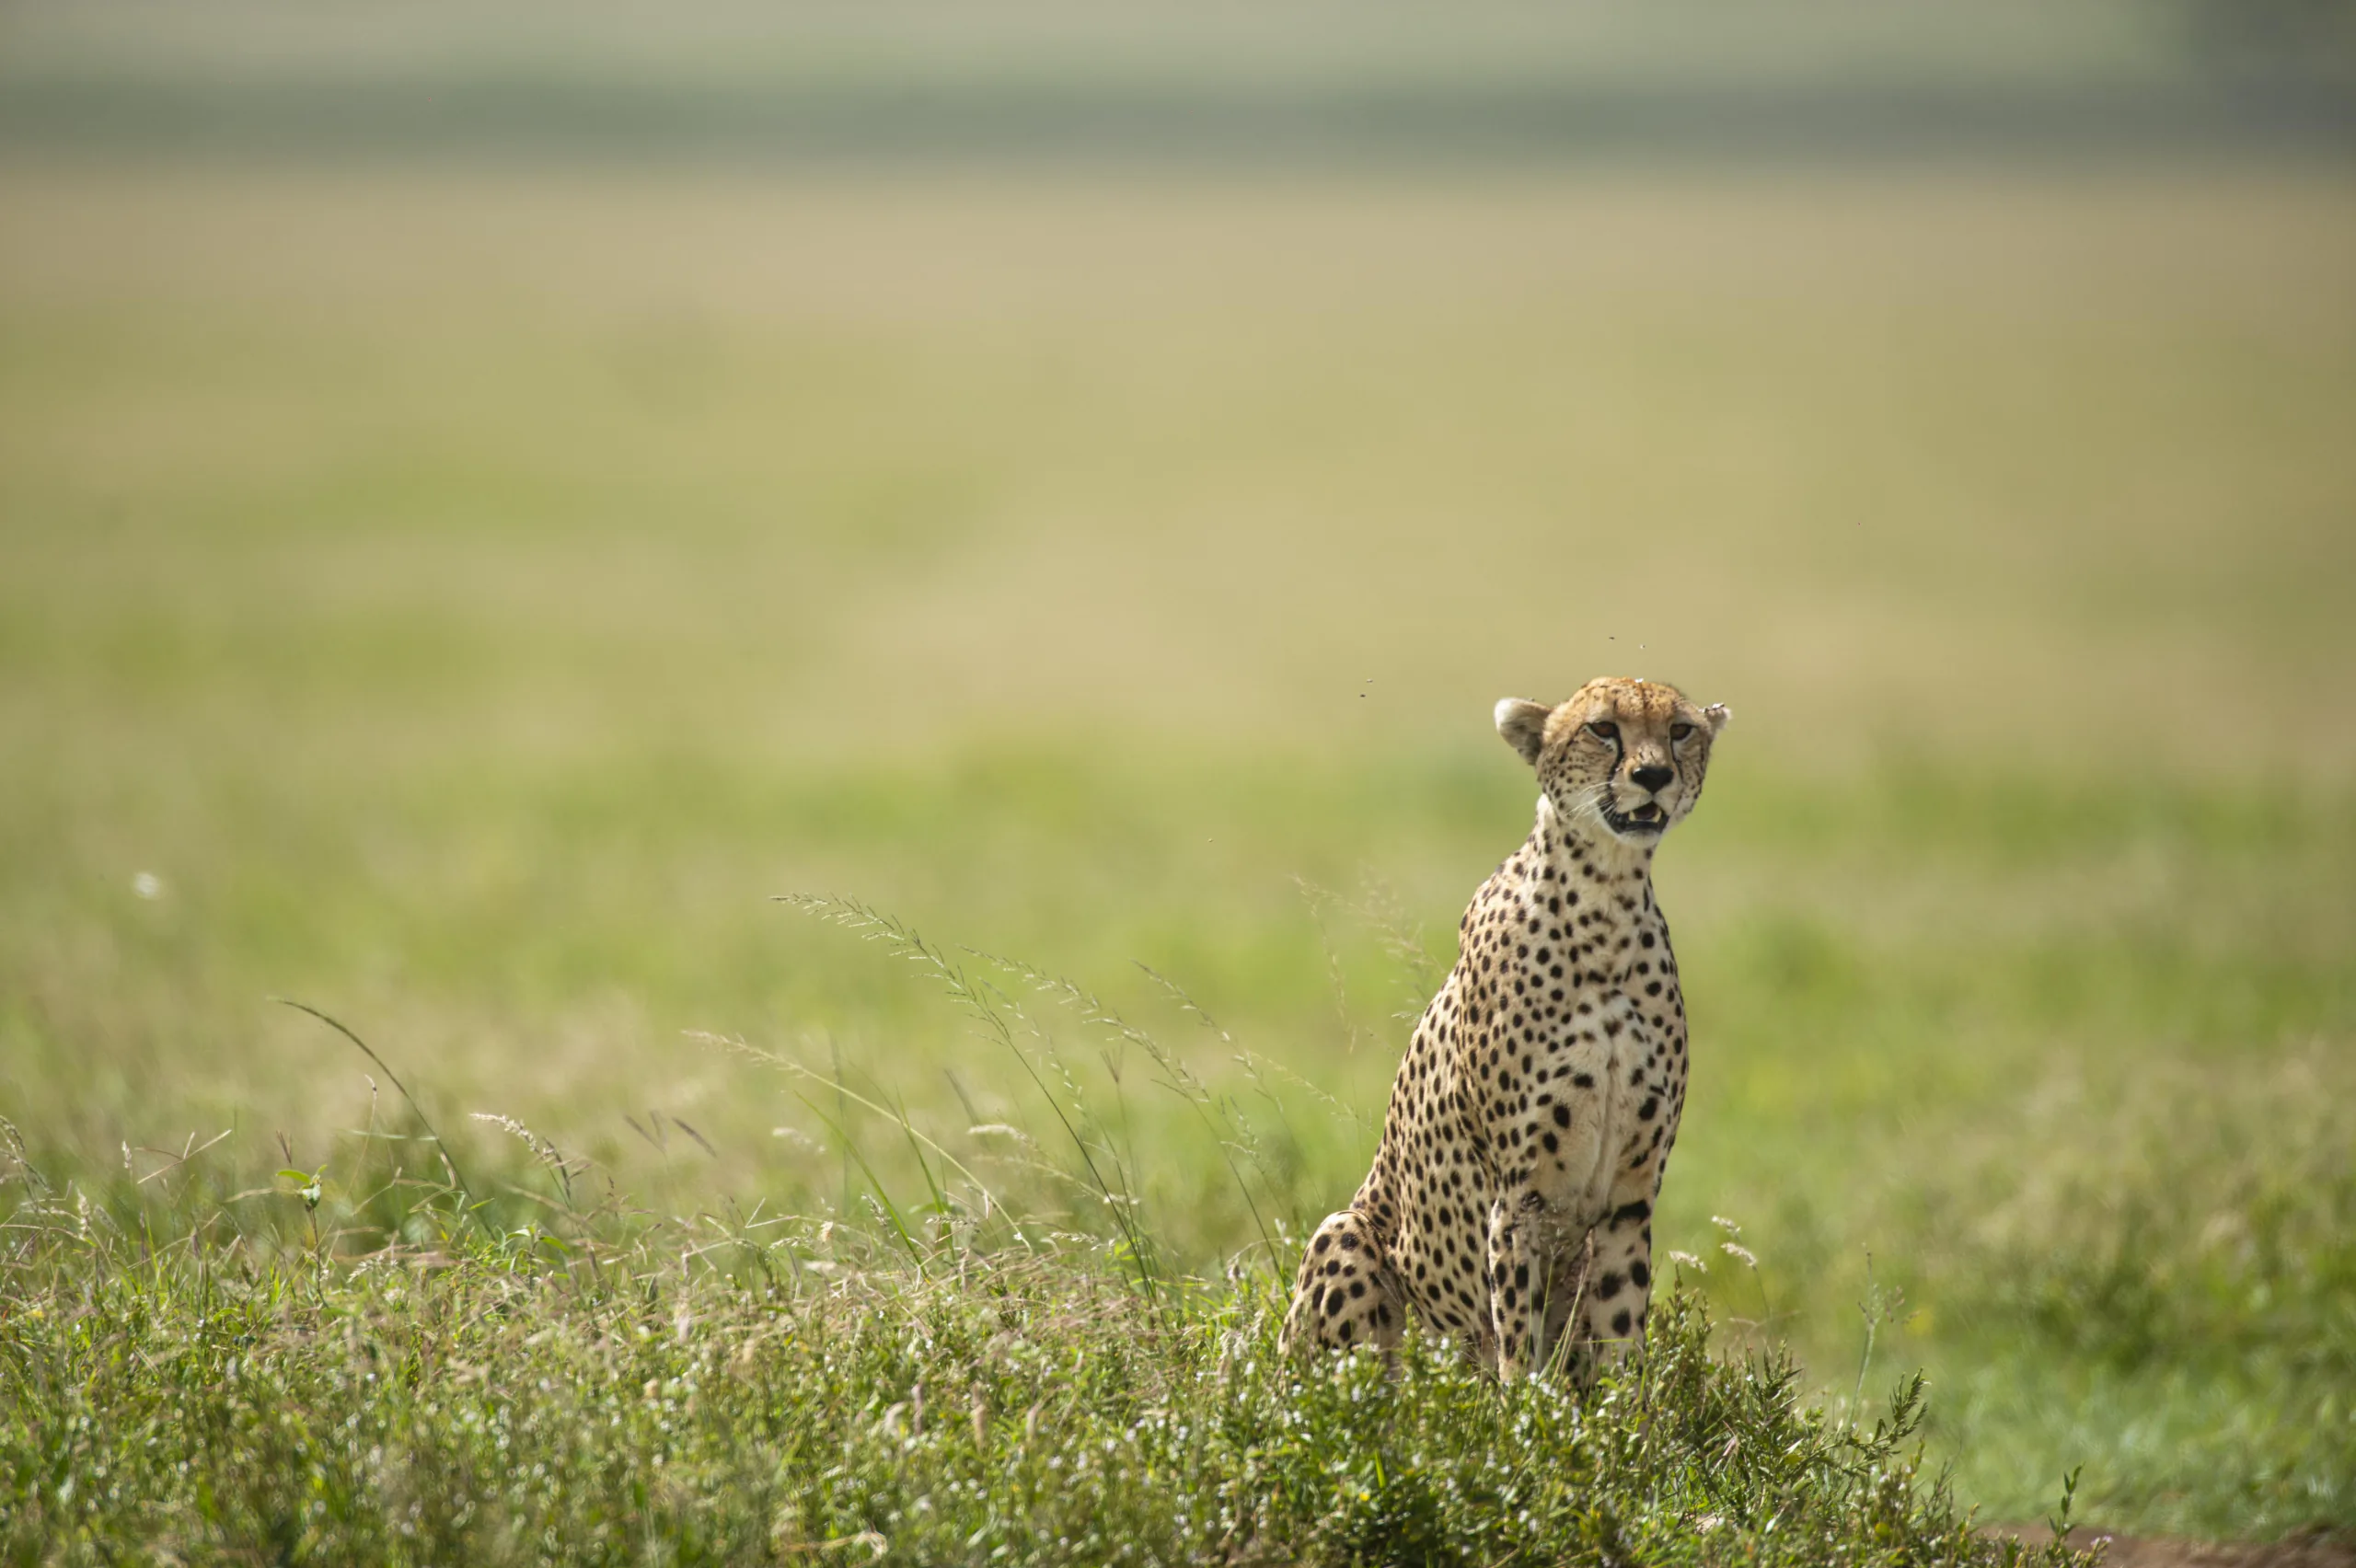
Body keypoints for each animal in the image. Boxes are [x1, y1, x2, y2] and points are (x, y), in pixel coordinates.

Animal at [1282, 675, 1729, 1385]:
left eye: (1680, 730)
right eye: (1603, 728)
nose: (1654, 774)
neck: (1606, 898)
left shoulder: (1631, 1199)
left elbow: (1620, 1343)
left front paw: (1624, 1417)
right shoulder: (1520, 1198)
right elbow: (1520, 1350)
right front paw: (1527, 1413)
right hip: (1347, 1237)